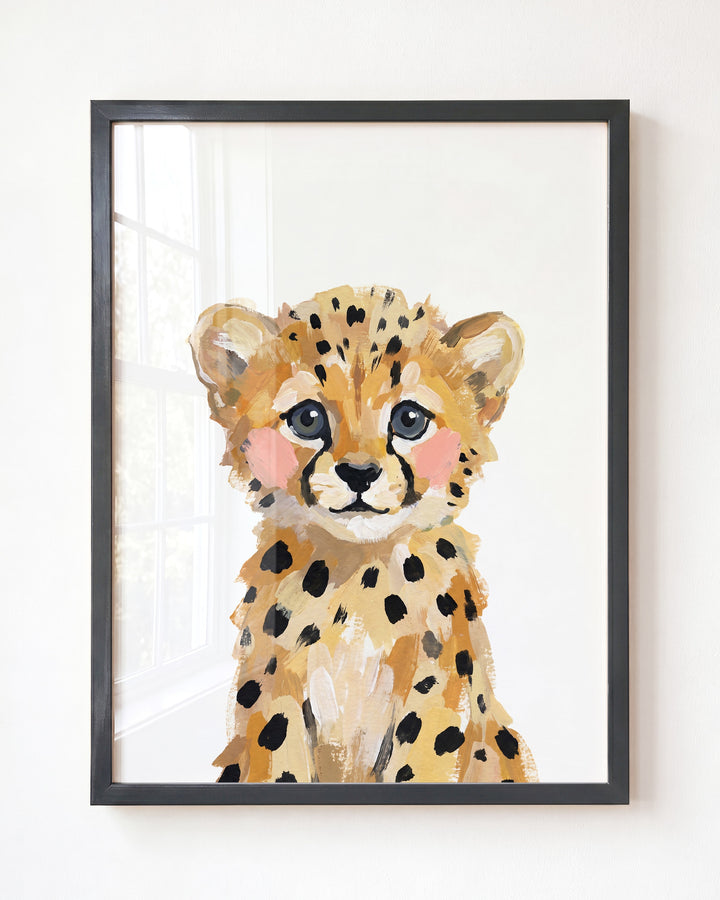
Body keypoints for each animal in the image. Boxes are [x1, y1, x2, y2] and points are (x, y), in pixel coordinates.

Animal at [190, 284, 538, 784]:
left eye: (409, 419)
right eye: (307, 419)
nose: (359, 473)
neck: (357, 576)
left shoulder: (434, 694)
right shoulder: (274, 688)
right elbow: (279, 759)